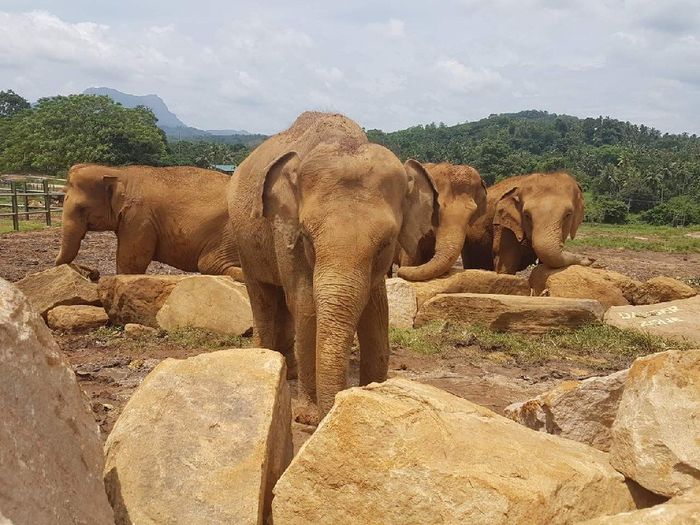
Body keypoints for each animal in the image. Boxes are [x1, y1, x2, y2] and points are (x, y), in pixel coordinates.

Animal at [54, 164, 242, 278]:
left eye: (81, 208)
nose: (94, 273)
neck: (119, 172)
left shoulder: (139, 219)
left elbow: (131, 264)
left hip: (229, 234)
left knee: (210, 266)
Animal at [228, 112, 438, 420]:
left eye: (385, 244)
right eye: (306, 237)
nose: (331, 408)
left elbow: (377, 311)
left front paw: (373, 393)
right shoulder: (285, 232)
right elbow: (305, 304)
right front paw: (307, 415)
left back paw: (287, 370)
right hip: (244, 242)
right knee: (263, 297)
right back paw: (263, 360)